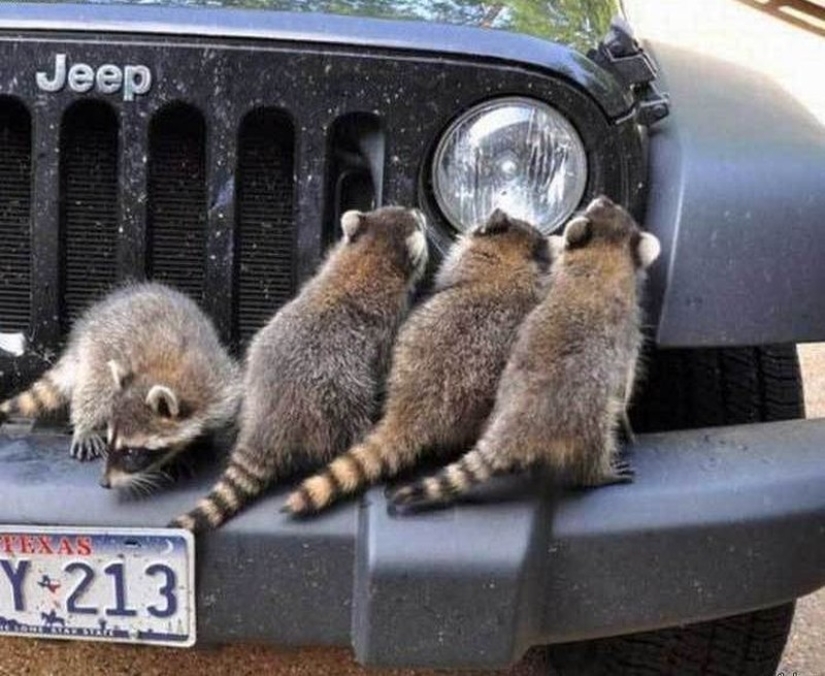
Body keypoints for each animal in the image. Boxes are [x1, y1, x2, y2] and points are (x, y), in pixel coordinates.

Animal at [0, 282, 242, 490]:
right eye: (111, 441)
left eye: (132, 452)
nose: (104, 483)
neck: (170, 373)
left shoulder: (220, 386)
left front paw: (191, 448)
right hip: (98, 349)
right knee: (94, 388)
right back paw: (85, 426)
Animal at [169, 206, 428, 532]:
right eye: (416, 221)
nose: (420, 212)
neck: (369, 256)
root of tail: (265, 426)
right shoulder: (386, 323)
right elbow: (384, 362)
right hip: (332, 400)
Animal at [389, 196, 661, 511]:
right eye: (602, 207)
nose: (602, 198)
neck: (604, 258)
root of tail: (519, 420)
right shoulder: (629, 331)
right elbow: (625, 380)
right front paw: (627, 417)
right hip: (585, 417)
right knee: (597, 439)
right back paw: (596, 473)